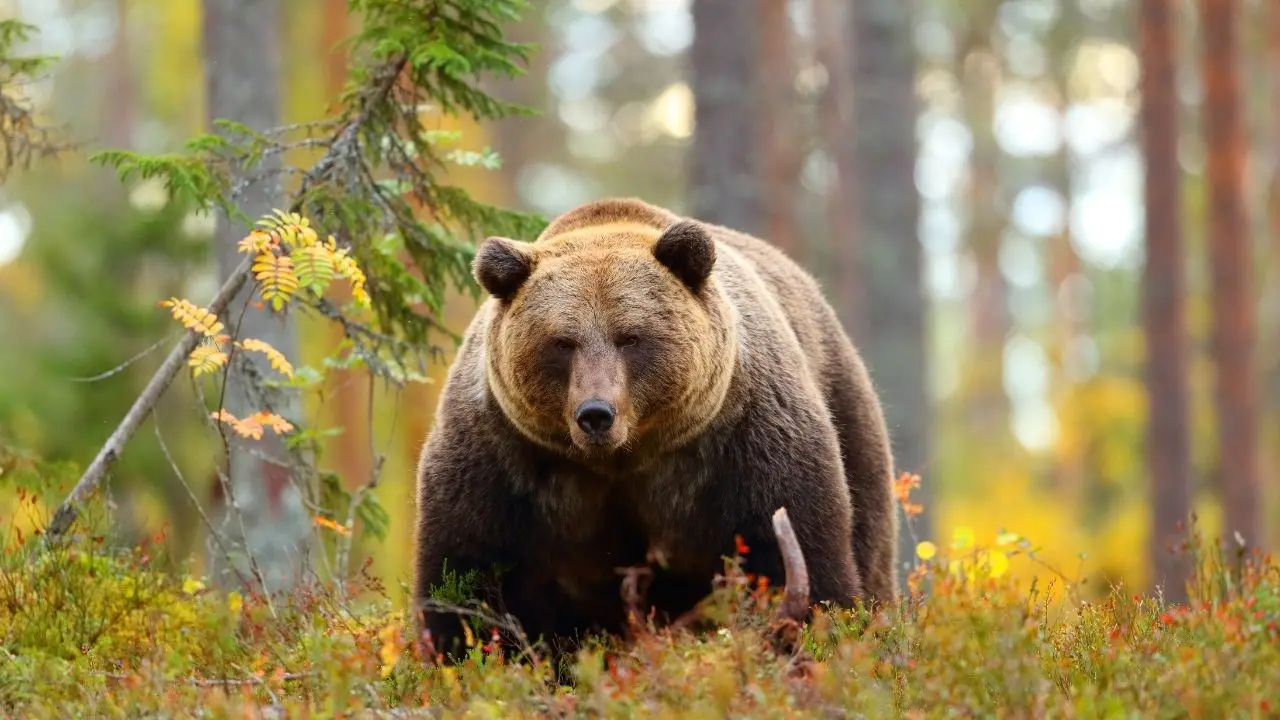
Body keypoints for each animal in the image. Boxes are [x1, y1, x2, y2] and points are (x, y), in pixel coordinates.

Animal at [414, 194, 896, 655]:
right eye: (562, 342)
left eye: (630, 337)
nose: (595, 413)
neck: (623, 459)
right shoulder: (504, 461)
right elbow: (466, 575)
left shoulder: (745, 442)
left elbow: (798, 554)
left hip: (847, 412)